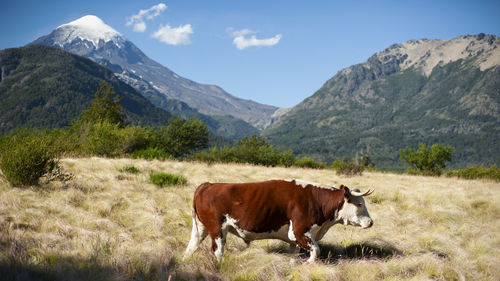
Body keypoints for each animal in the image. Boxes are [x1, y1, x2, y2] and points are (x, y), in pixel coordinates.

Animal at [182, 178, 374, 262]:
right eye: (359, 204)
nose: (370, 222)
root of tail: (206, 185)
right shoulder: (299, 232)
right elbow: (316, 251)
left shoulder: (295, 239)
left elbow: (294, 255)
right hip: (217, 229)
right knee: (218, 251)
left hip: (201, 228)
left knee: (191, 247)